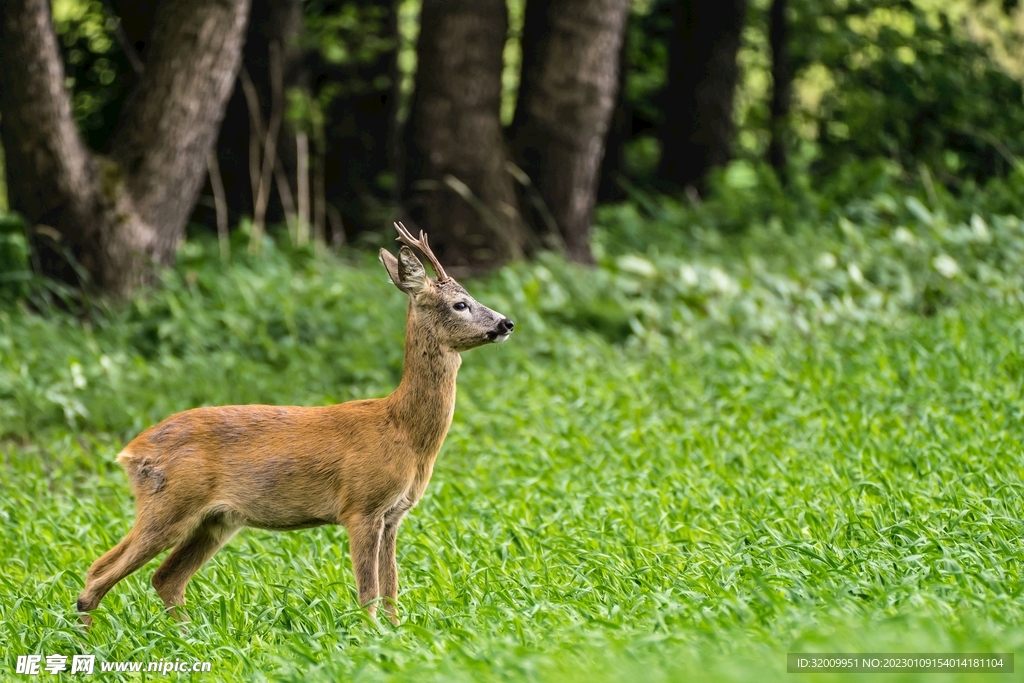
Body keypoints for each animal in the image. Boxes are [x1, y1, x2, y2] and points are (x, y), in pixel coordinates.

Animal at [76, 222, 514, 627]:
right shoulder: (361, 505)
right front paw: (371, 637)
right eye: (460, 304)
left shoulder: (393, 515)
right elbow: (369, 591)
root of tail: (131, 452)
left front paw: (395, 633)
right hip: (168, 503)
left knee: (165, 578)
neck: (402, 429)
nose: (506, 323)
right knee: (99, 572)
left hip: (216, 520)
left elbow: (391, 589)